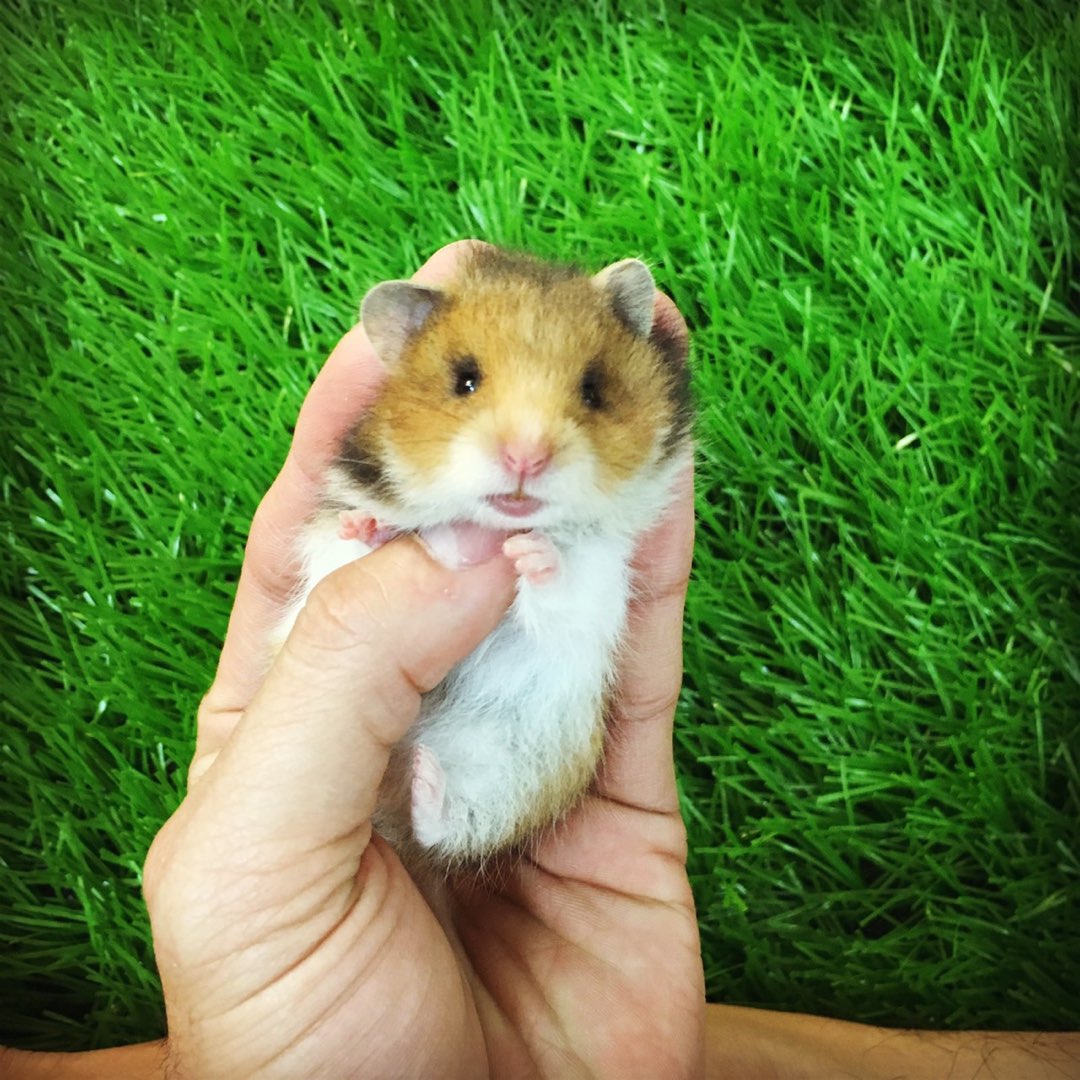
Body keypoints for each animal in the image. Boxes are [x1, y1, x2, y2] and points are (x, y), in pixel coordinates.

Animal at [277, 247, 691, 867]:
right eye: (464, 380)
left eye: (594, 389)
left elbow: (567, 590)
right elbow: (342, 553)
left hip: (514, 767)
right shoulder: (326, 547)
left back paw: (423, 782)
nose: (525, 456)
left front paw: (532, 552)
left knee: (448, 828)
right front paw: (371, 527)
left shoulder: (601, 577)